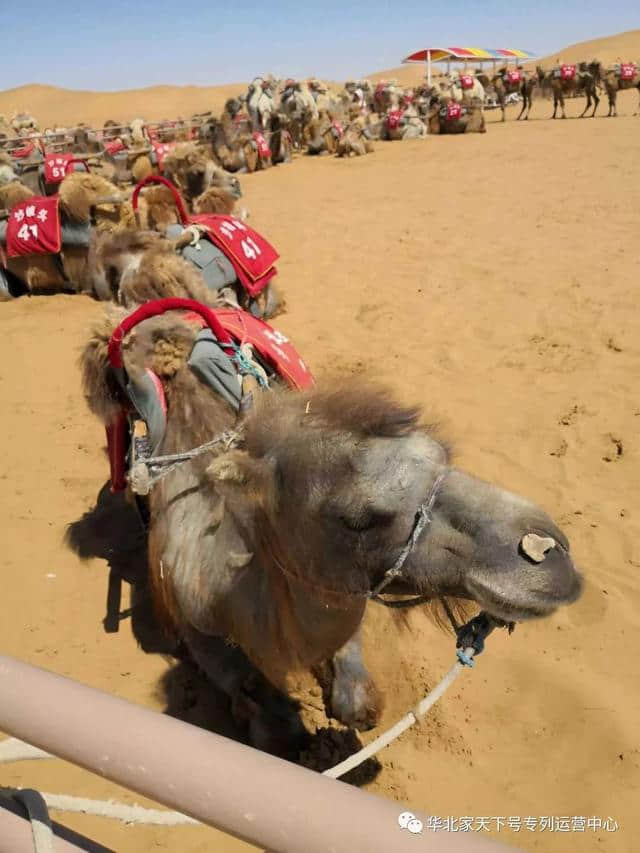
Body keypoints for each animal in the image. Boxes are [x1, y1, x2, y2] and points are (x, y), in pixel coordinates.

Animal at [81, 316, 584, 756]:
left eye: (442, 454)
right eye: (356, 518)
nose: (548, 553)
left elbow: (356, 701)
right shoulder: (190, 620)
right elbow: (268, 717)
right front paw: (263, 717)